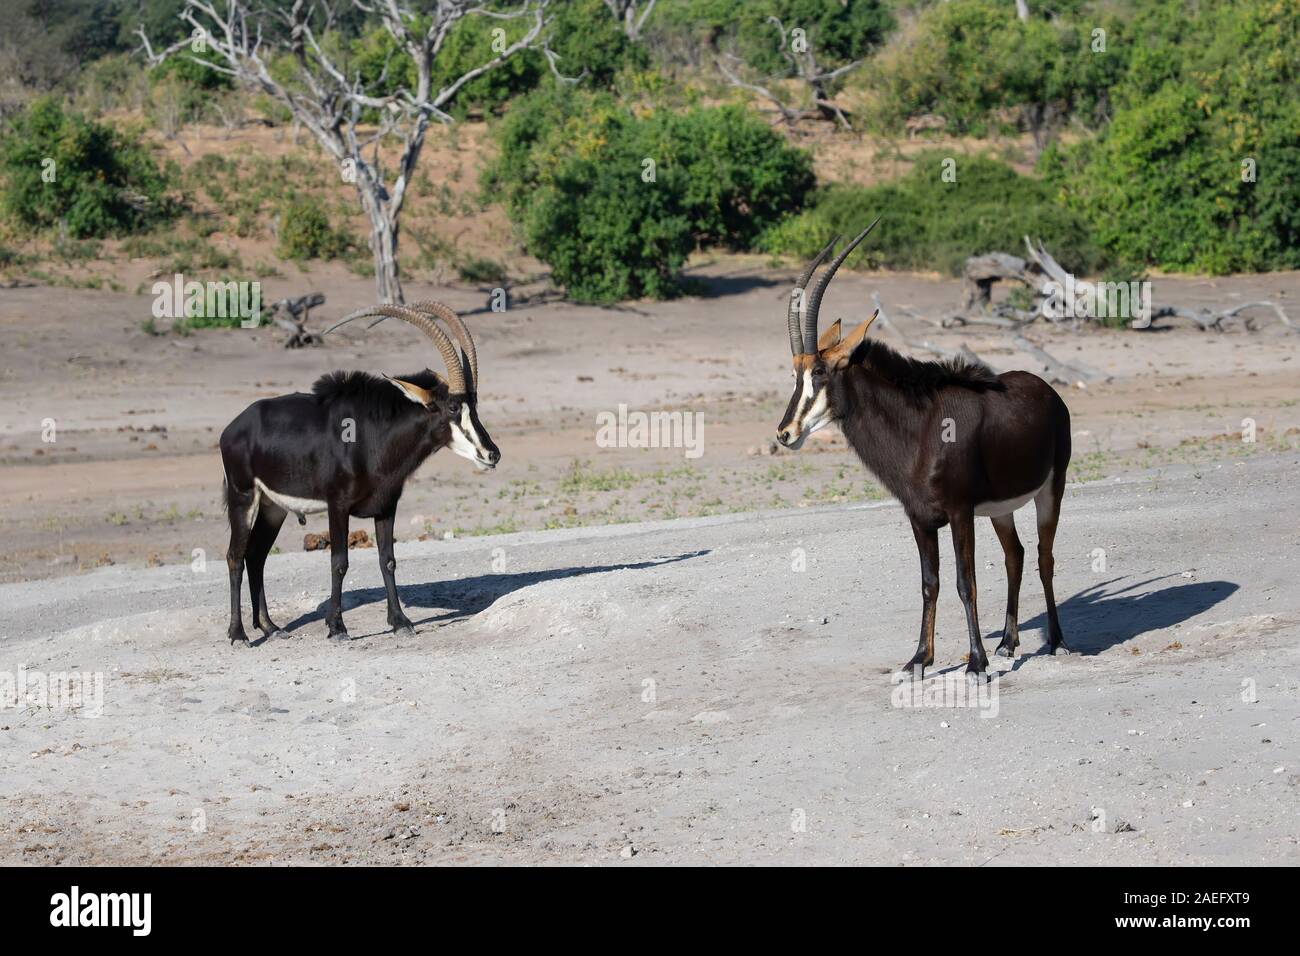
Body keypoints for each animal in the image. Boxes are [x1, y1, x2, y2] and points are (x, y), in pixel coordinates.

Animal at [218, 303, 496, 647]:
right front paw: (337, 627)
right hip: (243, 497)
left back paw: (271, 627)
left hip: (273, 508)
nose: (492, 454)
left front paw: (400, 621)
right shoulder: (338, 505)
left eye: (474, 405)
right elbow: (339, 562)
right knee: (235, 556)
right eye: (453, 408)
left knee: (256, 556)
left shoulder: (386, 506)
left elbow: (387, 560)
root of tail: (232, 429)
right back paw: (238, 634)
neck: (371, 436)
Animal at [774, 222, 1071, 681]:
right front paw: (919, 659)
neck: (921, 429)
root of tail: (1049, 392)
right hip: (1001, 509)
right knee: (1016, 556)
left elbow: (965, 582)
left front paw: (975, 663)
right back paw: (1008, 642)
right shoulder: (919, 518)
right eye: (795, 373)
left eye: (820, 371)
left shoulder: (960, 512)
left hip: (1050, 490)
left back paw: (1055, 641)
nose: (786, 433)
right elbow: (929, 583)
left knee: (1044, 556)